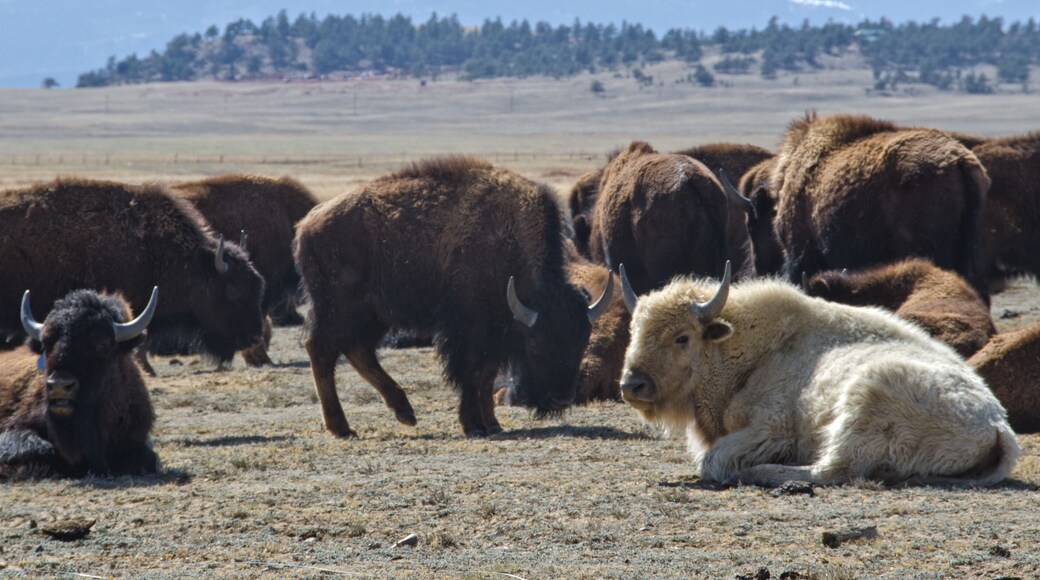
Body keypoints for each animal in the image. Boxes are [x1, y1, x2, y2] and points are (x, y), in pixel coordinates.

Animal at [294, 157, 610, 438]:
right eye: (536, 343)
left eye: (582, 340)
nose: (561, 398)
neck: (507, 240)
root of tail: (307, 224)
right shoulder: (468, 328)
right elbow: (472, 372)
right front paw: (473, 426)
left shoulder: (495, 333)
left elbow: (487, 374)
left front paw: (492, 424)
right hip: (339, 308)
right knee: (320, 349)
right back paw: (341, 427)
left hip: (375, 315)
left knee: (359, 351)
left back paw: (405, 413)